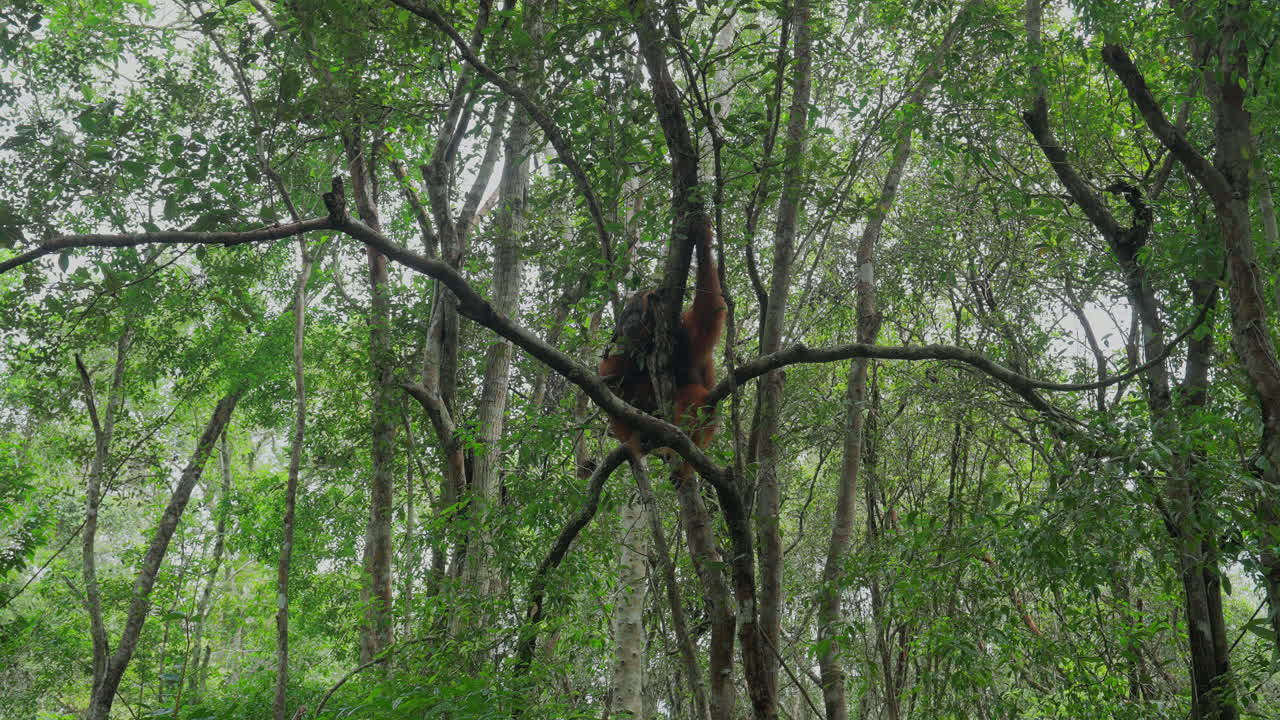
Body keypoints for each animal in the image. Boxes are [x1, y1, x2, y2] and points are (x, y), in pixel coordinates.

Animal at [598, 215, 726, 458]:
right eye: (627, 315)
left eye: (635, 313)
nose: (628, 323)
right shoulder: (626, 351)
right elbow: (612, 380)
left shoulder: (683, 337)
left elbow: (707, 315)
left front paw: (702, 236)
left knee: (691, 395)